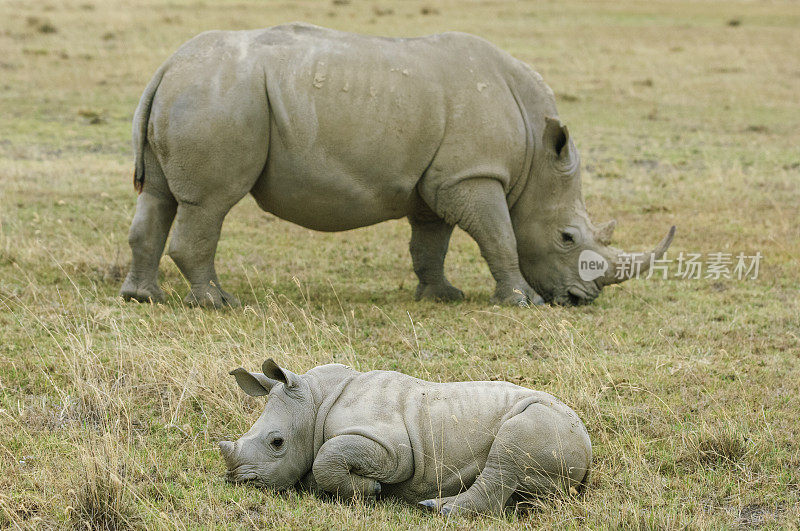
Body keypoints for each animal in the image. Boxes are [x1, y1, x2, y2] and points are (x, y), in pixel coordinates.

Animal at [122, 22, 676, 310]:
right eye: (567, 238)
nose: (583, 298)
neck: (535, 155)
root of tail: (167, 65)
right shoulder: (474, 174)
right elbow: (501, 236)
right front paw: (521, 302)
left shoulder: (441, 181)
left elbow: (430, 242)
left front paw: (442, 296)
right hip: (218, 96)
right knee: (210, 203)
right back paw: (218, 302)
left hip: (196, 90)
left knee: (160, 197)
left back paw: (143, 298)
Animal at [222, 358, 592, 516]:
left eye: (277, 442)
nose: (239, 480)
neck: (315, 402)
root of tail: (588, 449)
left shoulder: (394, 451)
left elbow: (329, 456)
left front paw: (371, 490)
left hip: (546, 420)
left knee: (508, 452)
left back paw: (436, 509)